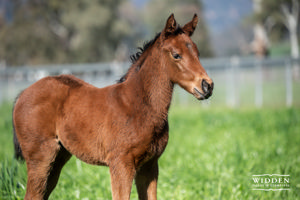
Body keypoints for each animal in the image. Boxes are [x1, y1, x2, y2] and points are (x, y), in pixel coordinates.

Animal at [12, 13, 213, 199]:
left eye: (197, 53)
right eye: (176, 55)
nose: (207, 85)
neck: (138, 106)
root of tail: (23, 94)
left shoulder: (149, 165)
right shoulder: (121, 164)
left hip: (58, 158)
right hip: (40, 157)